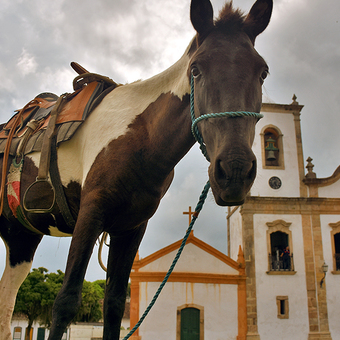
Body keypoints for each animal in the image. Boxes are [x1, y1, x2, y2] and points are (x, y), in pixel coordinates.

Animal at [0, 0, 272, 338]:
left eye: (263, 72)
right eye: (196, 69)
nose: (235, 170)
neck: (140, 137)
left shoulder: (131, 227)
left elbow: (115, 304)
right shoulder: (90, 215)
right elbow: (65, 302)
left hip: (21, 238)